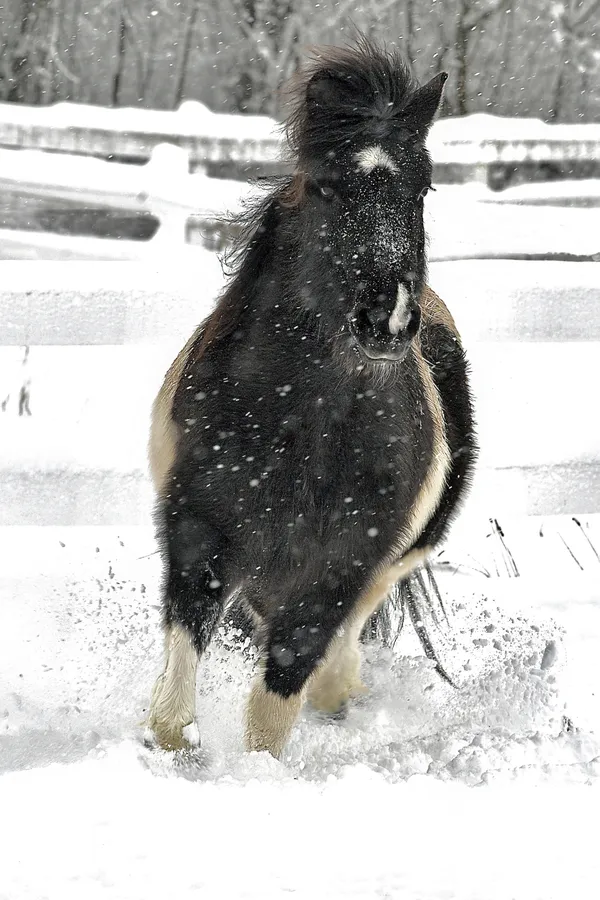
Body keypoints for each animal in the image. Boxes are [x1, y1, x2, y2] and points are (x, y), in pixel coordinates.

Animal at [145, 38, 477, 759]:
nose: (388, 318)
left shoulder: (341, 566)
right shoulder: (197, 530)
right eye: (326, 184)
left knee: (337, 653)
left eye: (424, 185)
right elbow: (175, 706)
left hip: (390, 561)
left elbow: (276, 706)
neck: (303, 423)